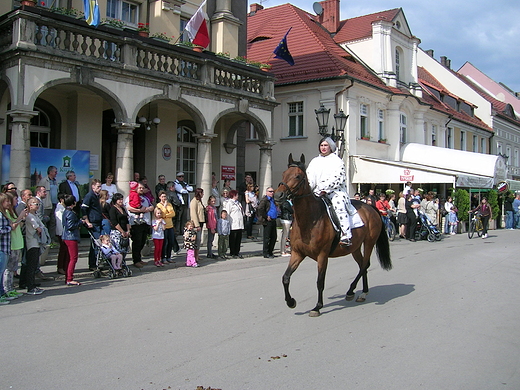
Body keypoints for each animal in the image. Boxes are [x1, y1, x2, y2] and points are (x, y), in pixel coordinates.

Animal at [274, 153, 392, 316]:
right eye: (284, 174)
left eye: (297, 176)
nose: (278, 195)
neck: (310, 219)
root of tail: (371, 207)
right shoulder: (297, 253)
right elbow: (285, 277)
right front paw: (291, 302)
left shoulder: (322, 255)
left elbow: (320, 281)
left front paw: (317, 307)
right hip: (355, 248)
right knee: (363, 264)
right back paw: (362, 292)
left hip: (369, 243)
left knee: (364, 265)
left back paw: (352, 291)